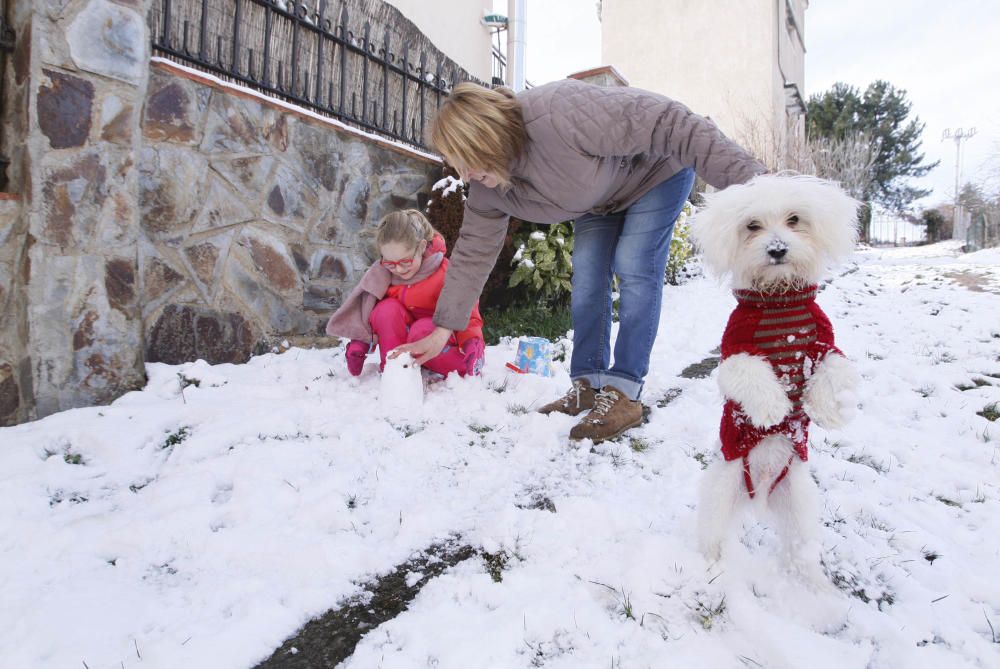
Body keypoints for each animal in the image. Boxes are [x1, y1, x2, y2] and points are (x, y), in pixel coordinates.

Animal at [692, 172, 864, 568]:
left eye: (794, 220)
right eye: (752, 225)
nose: (777, 249)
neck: (778, 301)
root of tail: (760, 491)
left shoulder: (823, 343)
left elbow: (836, 367)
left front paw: (827, 410)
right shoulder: (734, 351)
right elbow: (749, 372)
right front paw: (773, 409)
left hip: (798, 502)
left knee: (798, 550)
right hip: (721, 489)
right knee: (711, 538)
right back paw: (707, 568)